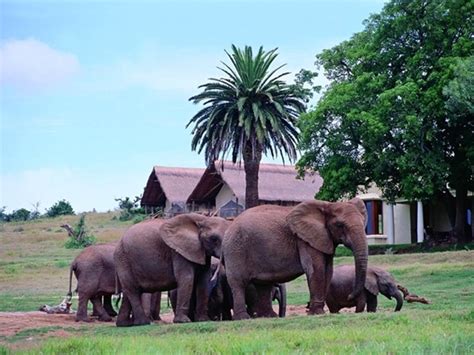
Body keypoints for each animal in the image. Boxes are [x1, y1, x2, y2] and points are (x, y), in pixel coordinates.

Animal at [224, 197, 368, 320]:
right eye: (340, 225)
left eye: (363, 222)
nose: (349, 296)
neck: (328, 205)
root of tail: (229, 225)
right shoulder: (305, 240)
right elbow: (316, 269)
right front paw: (316, 313)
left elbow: (328, 271)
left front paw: (316, 311)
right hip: (236, 250)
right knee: (238, 283)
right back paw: (243, 318)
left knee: (263, 285)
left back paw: (268, 317)